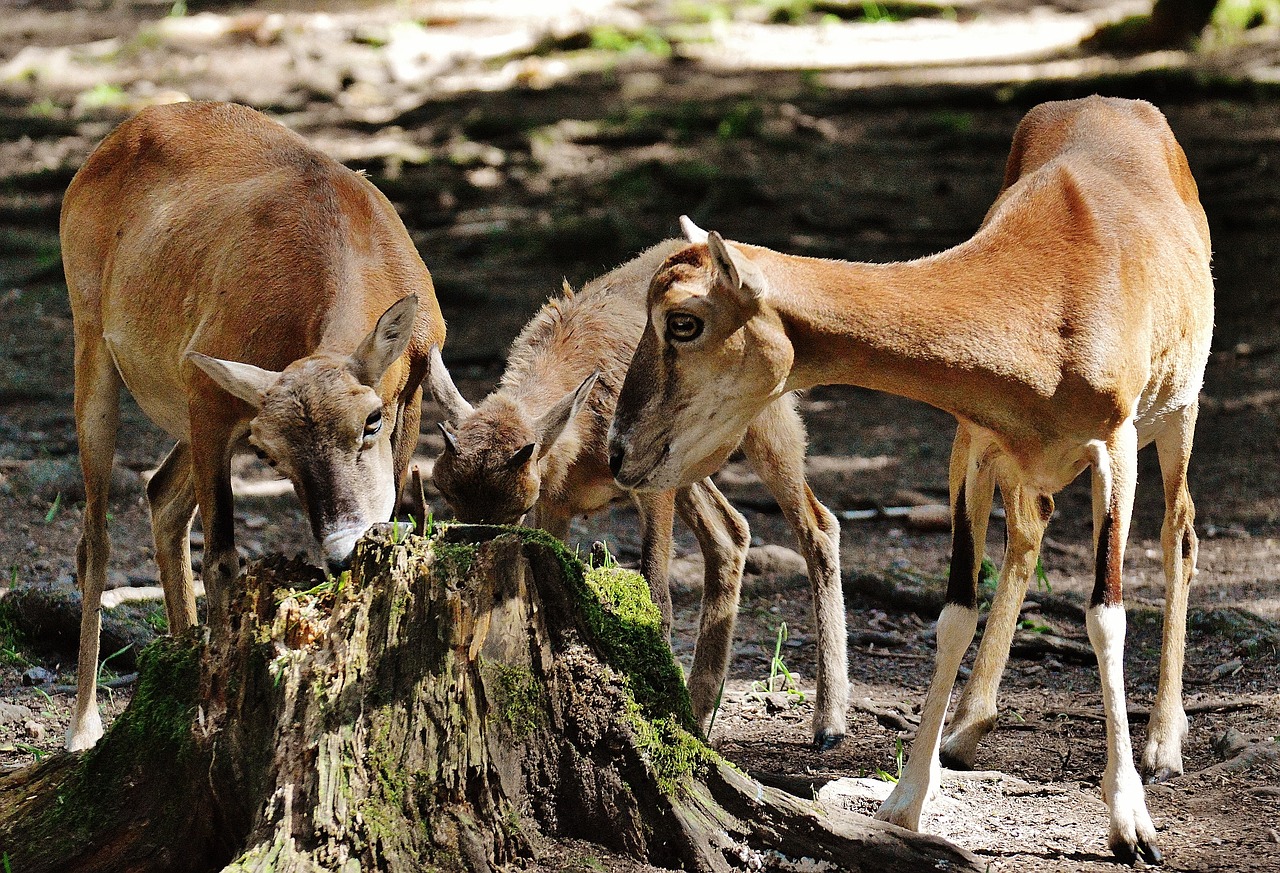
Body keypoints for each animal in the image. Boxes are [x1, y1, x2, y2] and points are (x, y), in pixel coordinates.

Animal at [60, 101, 445, 752]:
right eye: (271, 455)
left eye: (371, 420)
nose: (341, 550)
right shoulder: (209, 396)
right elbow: (222, 558)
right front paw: (205, 720)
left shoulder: (412, 388)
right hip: (91, 341)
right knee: (96, 535)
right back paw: (86, 726)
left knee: (160, 494)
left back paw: (181, 652)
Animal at [427, 239, 849, 747]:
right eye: (445, 493)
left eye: (517, 505)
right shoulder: (558, 503)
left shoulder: (645, 486)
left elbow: (657, 597)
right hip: (689, 464)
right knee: (731, 531)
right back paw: (699, 713)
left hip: (768, 427)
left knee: (817, 524)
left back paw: (828, 723)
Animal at [606, 95, 1208, 855]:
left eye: (683, 321)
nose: (618, 451)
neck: (1050, 307)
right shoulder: (972, 442)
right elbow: (954, 612)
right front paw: (902, 803)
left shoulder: (1115, 443)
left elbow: (1105, 615)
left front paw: (1131, 822)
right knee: (1032, 530)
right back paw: (970, 728)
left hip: (1180, 413)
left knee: (1180, 534)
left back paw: (1164, 743)